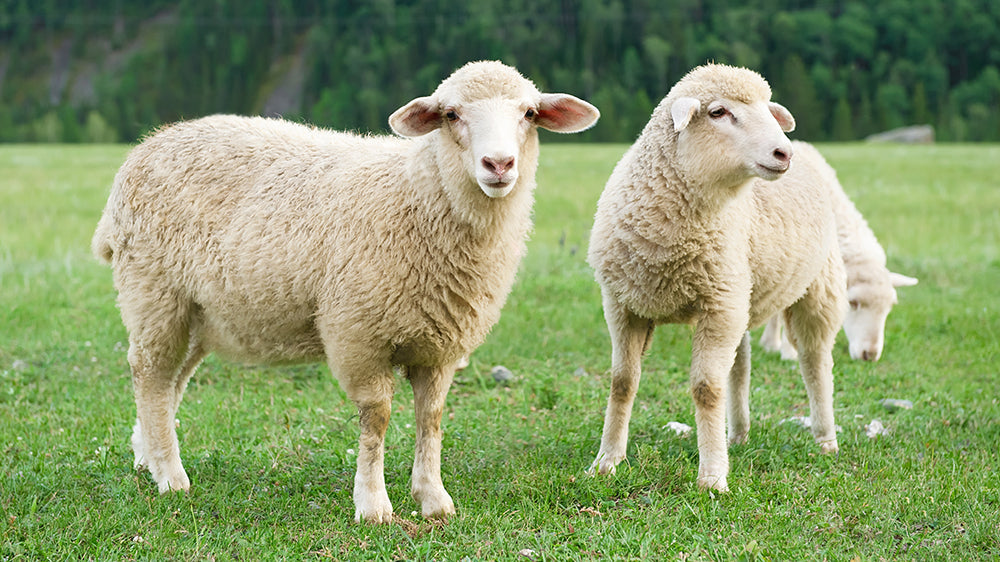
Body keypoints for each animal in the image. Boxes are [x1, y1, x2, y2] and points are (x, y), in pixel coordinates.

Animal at [90, 60, 599, 523]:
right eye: (451, 114)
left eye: (530, 113)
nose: (499, 165)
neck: (419, 196)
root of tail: (147, 146)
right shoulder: (358, 335)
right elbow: (377, 418)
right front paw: (373, 506)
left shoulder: (441, 345)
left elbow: (431, 417)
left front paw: (433, 499)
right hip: (154, 292)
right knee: (150, 375)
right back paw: (170, 477)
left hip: (199, 312)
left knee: (170, 383)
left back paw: (148, 455)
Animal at [586, 64, 846, 492]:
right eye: (718, 112)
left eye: (768, 110)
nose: (783, 153)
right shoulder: (623, 305)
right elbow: (622, 382)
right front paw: (607, 461)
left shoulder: (717, 306)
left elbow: (706, 389)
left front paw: (711, 476)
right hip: (741, 294)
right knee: (740, 366)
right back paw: (736, 434)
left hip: (815, 288)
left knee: (815, 361)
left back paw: (825, 438)